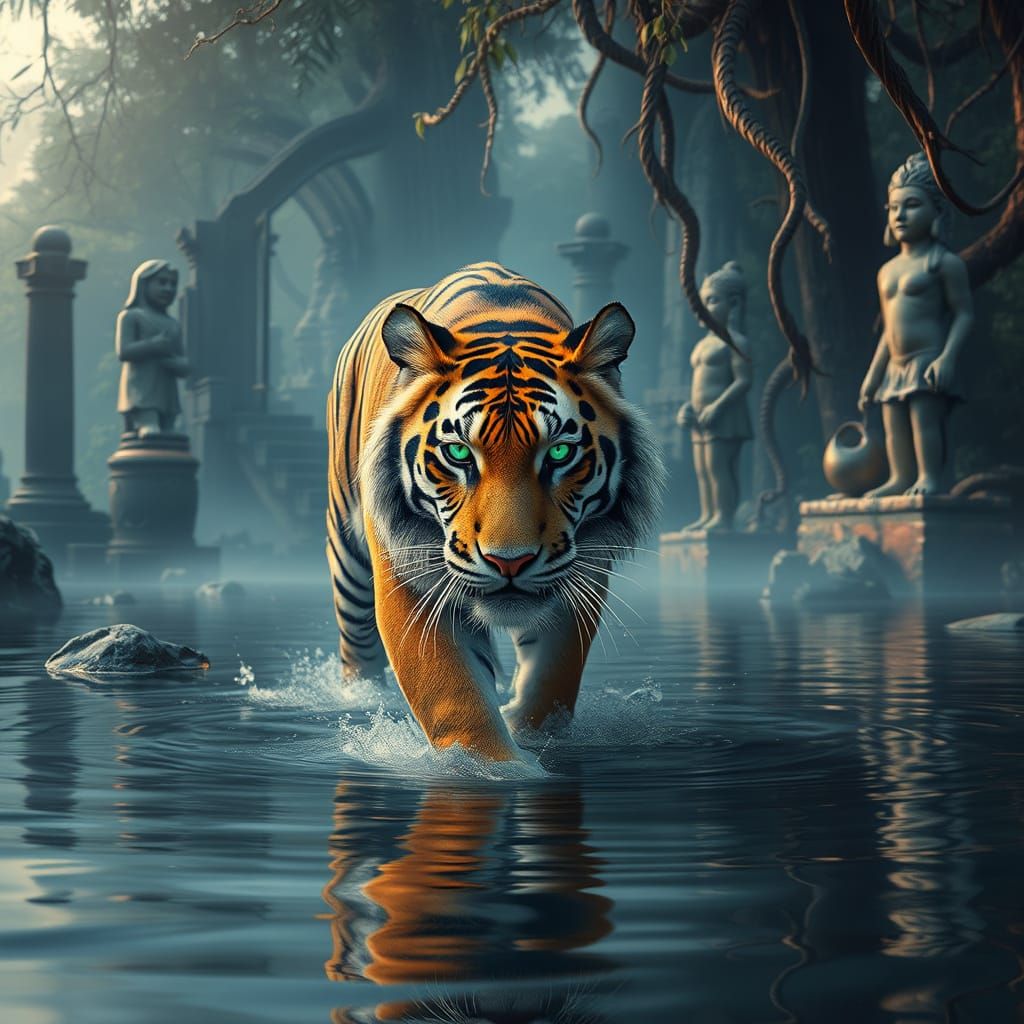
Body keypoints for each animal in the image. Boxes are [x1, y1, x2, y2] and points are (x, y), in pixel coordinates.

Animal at [326, 262, 664, 761]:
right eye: (459, 453)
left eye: (559, 452)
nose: (510, 562)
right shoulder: (407, 576)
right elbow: (454, 698)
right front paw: (497, 767)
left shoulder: (579, 569)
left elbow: (552, 678)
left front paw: (529, 734)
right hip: (348, 561)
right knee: (358, 647)